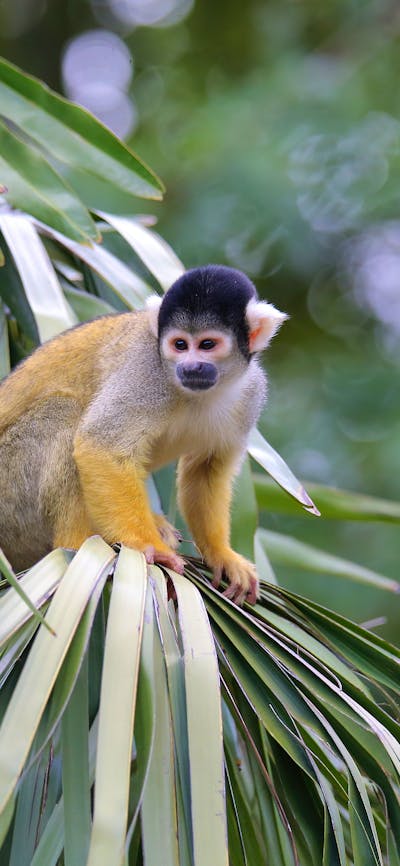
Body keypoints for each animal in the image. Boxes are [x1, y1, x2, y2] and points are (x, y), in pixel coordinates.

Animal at [0, 265, 286, 604]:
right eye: (179, 345)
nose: (191, 367)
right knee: (64, 411)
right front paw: (148, 546)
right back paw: (78, 544)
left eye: (207, 345)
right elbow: (101, 444)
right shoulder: (146, 371)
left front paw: (221, 554)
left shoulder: (251, 393)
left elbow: (206, 471)